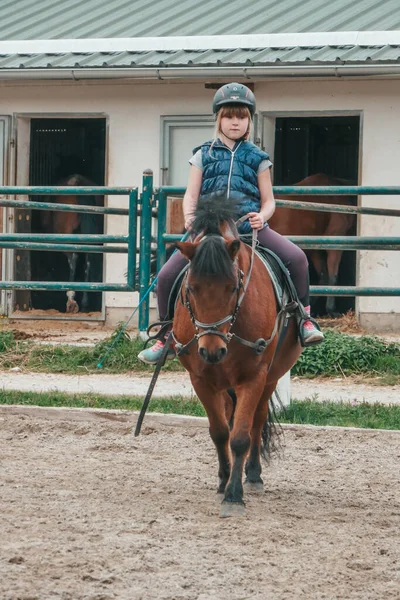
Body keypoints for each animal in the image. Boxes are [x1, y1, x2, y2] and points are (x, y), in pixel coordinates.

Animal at [173, 197, 304, 516]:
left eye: (233, 287)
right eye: (191, 288)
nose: (211, 351)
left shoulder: (253, 377)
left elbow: (242, 436)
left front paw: (234, 495)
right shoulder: (201, 379)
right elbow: (220, 432)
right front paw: (223, 481)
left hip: (270, 377)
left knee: (257, 420)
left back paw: (253, 475)